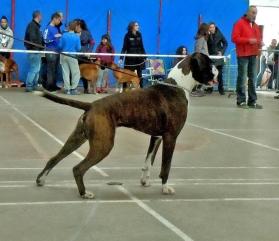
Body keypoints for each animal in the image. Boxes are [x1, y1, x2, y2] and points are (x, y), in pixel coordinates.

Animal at [36, 52, 218, 198]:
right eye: (209, 63)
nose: (217, 68)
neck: (178, 85)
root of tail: (92, 105)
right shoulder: (170, 137)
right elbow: (165, 166)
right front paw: (165, 188)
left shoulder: (156, 137)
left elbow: (148, 162)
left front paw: (144, 181)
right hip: (104, 145)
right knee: (78, 168)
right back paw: (84, 193)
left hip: (77, 138)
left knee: (54, 158)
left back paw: (41, 180)